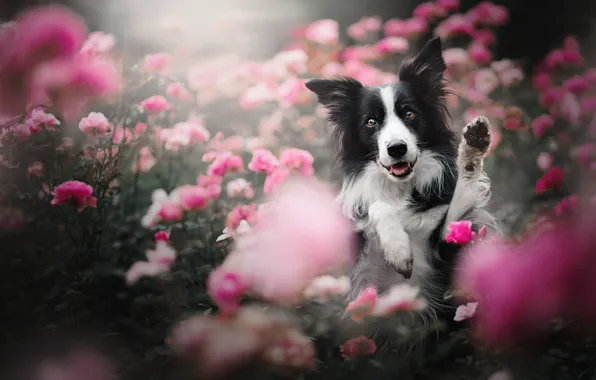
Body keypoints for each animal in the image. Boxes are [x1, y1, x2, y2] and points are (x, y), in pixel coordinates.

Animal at [300, 37, 496, 344]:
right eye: (370, 121)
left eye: (410, 113)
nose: (396, 148)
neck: (400, 188)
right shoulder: (365, 273)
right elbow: (378, 207)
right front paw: (398, 250)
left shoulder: (451, 244)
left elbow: (460, 200)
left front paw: (472, 148)